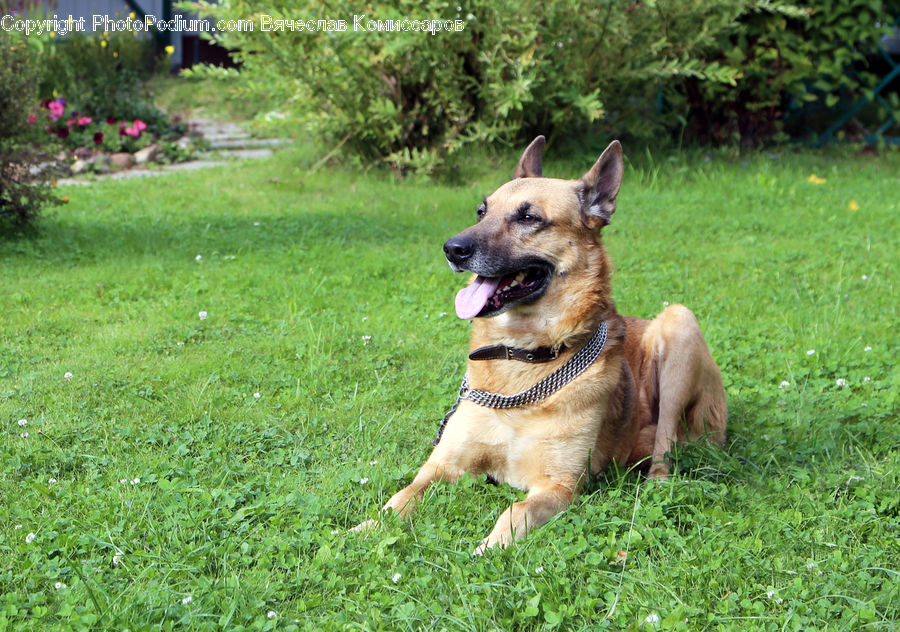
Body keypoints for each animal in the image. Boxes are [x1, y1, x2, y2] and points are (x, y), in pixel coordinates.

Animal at [352, 137, 724, 552]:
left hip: (679, 324)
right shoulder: (443, 465)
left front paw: (487, 549)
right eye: (481, 211)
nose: (452, 249)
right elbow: (402, 497)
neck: (522, 361)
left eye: (529, 218)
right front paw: (366, 529)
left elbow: (515, 513)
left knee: (664, 449)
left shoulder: (558, 486)